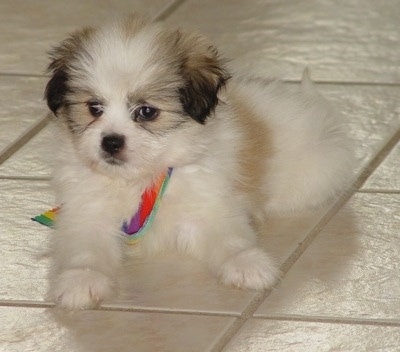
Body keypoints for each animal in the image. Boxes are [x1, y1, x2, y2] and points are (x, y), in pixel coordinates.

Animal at [44, 13, 354, 310]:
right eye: (94, 108)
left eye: (147, 112)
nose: (111, 142)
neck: (140, 180)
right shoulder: (86, 213)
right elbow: (85, 250)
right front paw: (81, 280)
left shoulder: (209, 205)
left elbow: (228, 237)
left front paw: (247, 264)